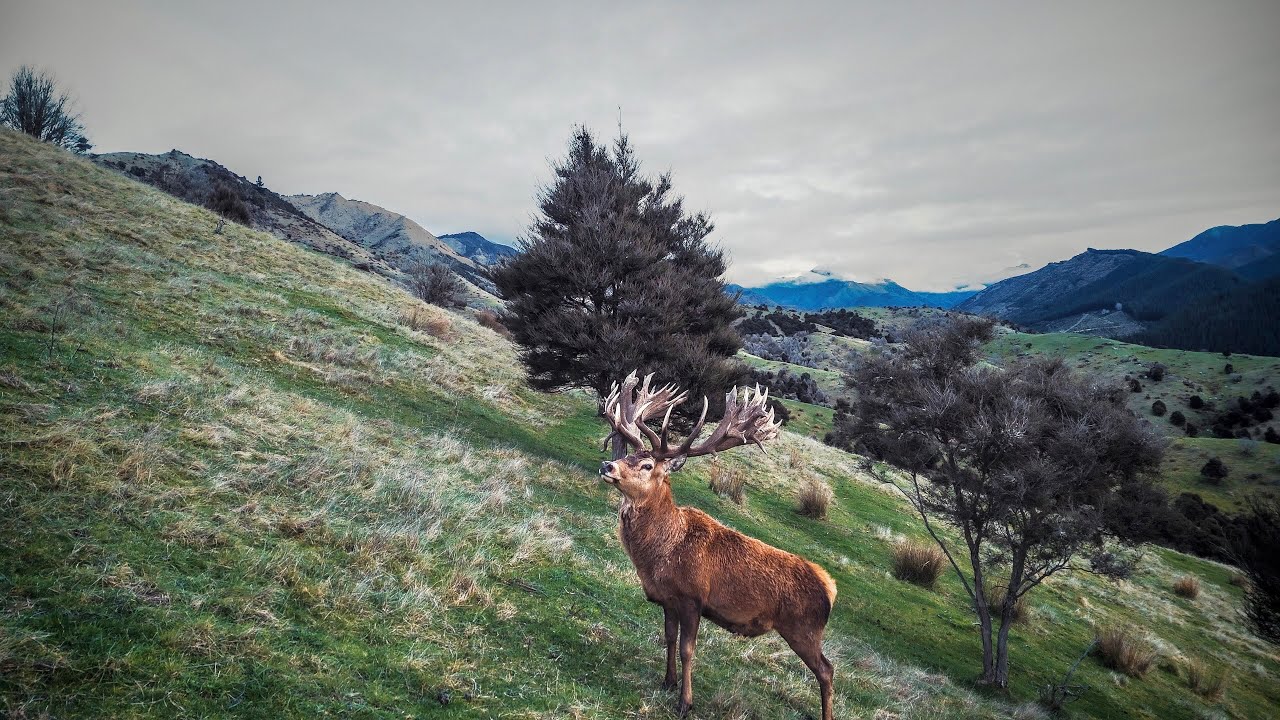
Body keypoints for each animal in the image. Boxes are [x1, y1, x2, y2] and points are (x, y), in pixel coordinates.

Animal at [598, 371, 837, 720]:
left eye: (647, 466)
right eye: (628, 454)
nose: (607, 465)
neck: (662, 554)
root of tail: (830, 587)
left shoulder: (692, 597)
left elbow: (687, 649)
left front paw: (685, 702)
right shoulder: (668, 599)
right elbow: (669, 638)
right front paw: (667, 682)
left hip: (804, 627)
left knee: (827, 669)